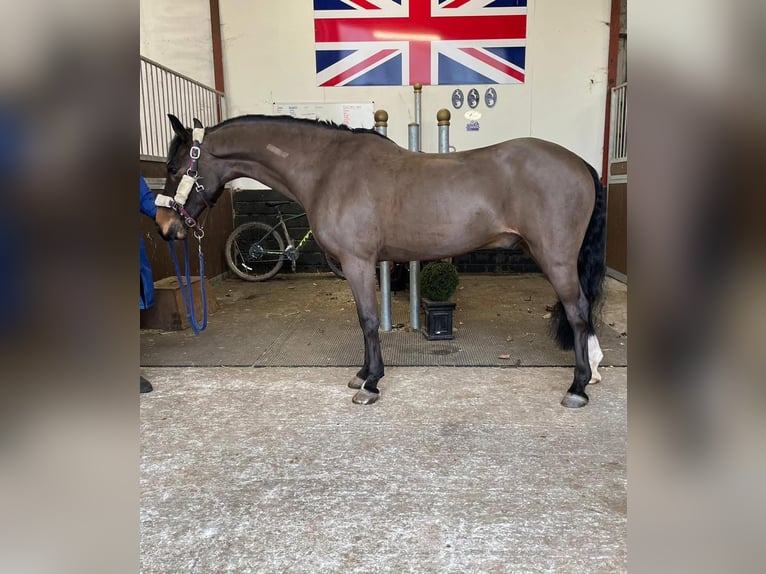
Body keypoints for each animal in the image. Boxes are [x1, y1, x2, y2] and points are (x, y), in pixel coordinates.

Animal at [156, 113, 606, 408]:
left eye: (175, 167)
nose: (165, 227)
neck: (327, 170)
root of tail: (580, 163)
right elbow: (365, 321)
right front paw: (363, 374)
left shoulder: (358, 262)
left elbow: (369, 320)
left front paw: (370, 385)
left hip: (557, 260)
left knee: (579, 312)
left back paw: (578, 388)